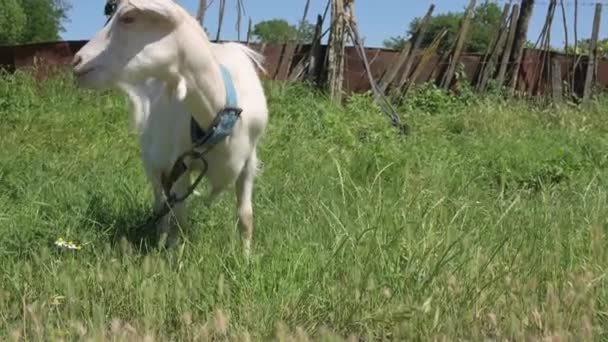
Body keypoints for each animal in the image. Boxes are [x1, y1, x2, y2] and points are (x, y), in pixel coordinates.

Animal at [71, 0, 268, 254]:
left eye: (128, 18)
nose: (76, 61)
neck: (219, 118)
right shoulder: (181, 162)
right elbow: (181, 220)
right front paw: (180, 257)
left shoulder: (249, 162)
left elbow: (245, 216)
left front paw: (245, 257)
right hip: (153, 161)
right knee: (162, 206)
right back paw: (162, 240)